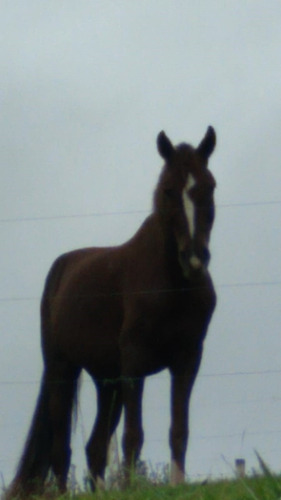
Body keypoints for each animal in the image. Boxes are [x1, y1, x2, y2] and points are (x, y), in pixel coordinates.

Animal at [7, 126, 217, 496]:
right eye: (168, 189)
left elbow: (179, 430)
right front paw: (133, 488)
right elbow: (133, 435)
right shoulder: (134, 362)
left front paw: (176, 485)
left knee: (94, 447)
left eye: (210, 186)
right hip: (62, 368)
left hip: (107, 382)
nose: (194, 259)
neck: (172, 287)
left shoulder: (188, 359)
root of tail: (62, 269)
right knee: (62, 448)